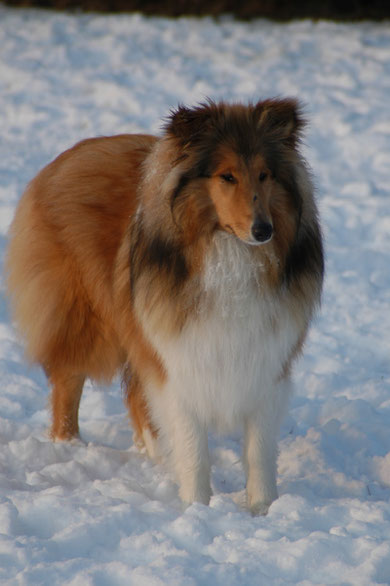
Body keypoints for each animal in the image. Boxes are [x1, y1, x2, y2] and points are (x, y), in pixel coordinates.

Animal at [6, 99, 324, 512]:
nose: (263, 230)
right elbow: (193, 447)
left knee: (134, 396)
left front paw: (263, 509)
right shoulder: (179, 359)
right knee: (68, 382)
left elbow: (259, 450)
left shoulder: (266, 362)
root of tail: (70, 154)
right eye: (227, 176)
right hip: (86, 318)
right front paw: (197, 508)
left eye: (265, 175)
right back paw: (69, 446)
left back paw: (155, 455)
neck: (228, 254)